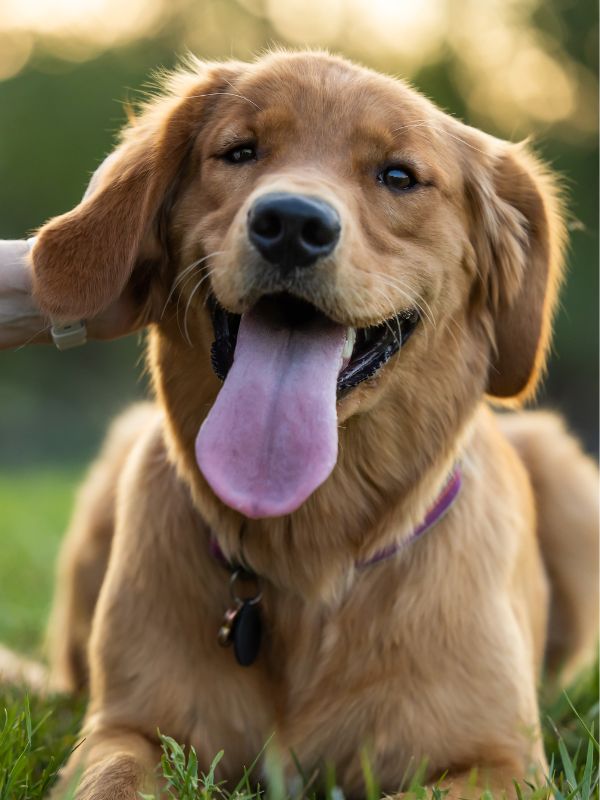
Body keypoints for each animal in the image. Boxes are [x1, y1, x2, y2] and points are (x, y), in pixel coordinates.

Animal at [19, 51, 600, 800]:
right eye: (240, 151)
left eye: (398, 176)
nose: (292, 224)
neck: (308, 552)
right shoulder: (125, 727)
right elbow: (114, 777)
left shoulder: (499, 762)